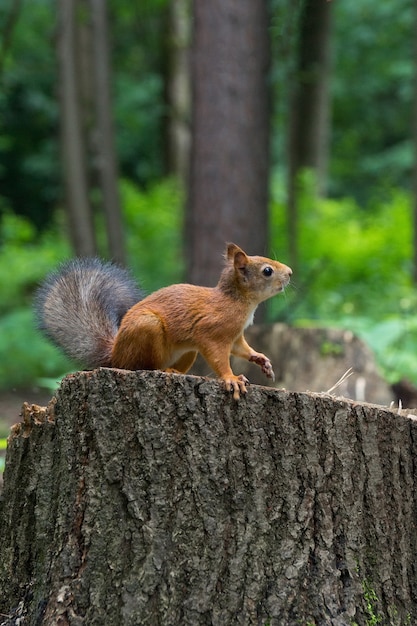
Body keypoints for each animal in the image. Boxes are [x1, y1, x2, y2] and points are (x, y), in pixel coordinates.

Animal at [35, 241, 290, 398]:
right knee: (142, 366)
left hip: (188, 351)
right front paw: (231, 378)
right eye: (267, 271)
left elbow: (242, 349)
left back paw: (180, 372)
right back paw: (167, 371)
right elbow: (219, 357)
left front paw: (262, 360)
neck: (238, 301)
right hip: (148, 329)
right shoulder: (212, 332)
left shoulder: (235, 336)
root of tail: (115, 354)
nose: (290, 273)